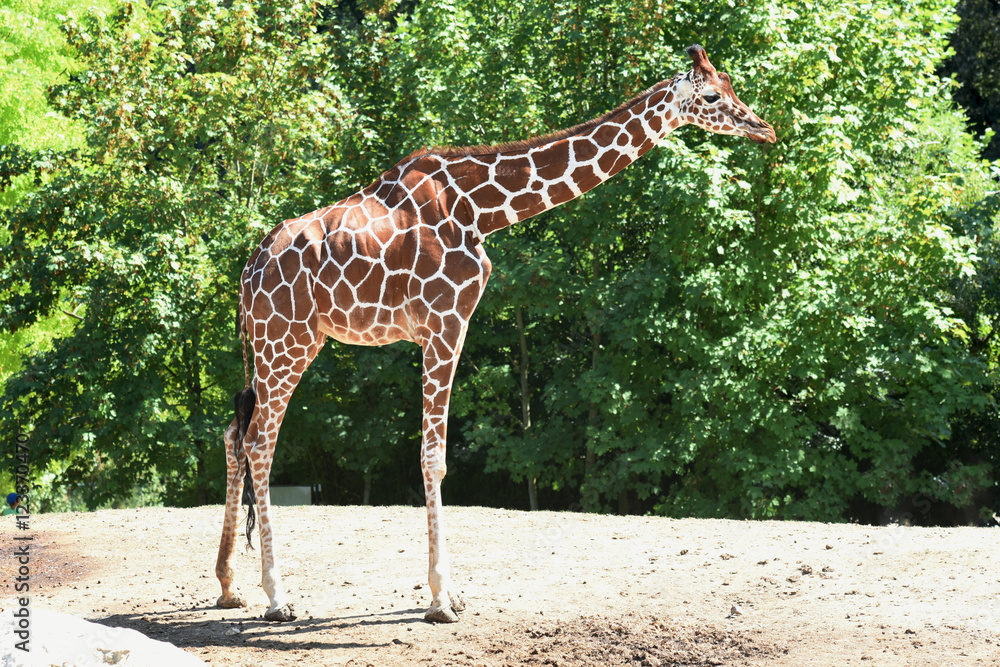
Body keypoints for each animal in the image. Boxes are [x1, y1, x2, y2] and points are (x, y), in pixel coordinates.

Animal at [215, 44, 776, 624]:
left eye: (732, 85)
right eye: (714, 96)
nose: (765, 128)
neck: (481, 209)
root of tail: (247, 274)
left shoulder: (447, 327)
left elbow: (434, 456)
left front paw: (450, 592)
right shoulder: (444, 323)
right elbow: (433, 456)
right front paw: (442, 598)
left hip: (274, 347)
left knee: (235, 434)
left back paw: (230, 586)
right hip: (288, 342)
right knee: (259, 443)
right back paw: (277, 596)